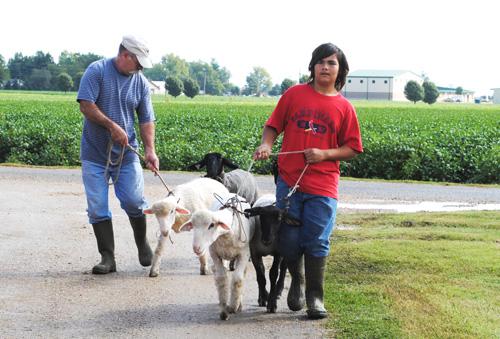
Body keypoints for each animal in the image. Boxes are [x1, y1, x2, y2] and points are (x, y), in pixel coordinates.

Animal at [180, 194, 256, 322]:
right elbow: (221, 278)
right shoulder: (214, 254)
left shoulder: (244, 254)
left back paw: (239, 304)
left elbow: (237, 278)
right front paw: (224, 309)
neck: (227, 233)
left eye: (211, 225)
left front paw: (233, 306)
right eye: (193, 226)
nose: (196, 248)